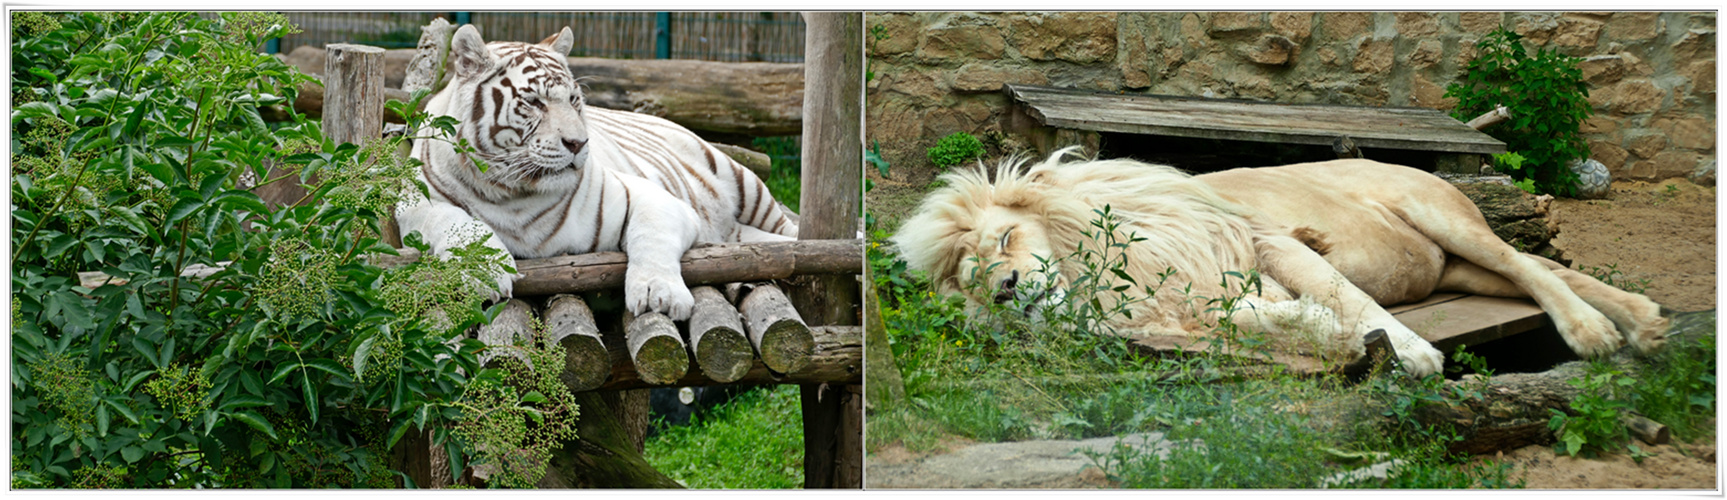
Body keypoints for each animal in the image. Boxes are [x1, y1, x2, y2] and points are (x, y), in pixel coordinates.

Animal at [397, 25, 794, 318]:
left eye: (574, 99)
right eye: (534, 102)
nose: (578, 143)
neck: (515, 193)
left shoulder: (654, 199)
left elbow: (651, 235)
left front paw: (659, 294)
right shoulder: (411, 201)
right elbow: (456, 220)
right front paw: (483, 271)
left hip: (741, 181)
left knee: (789, 228)